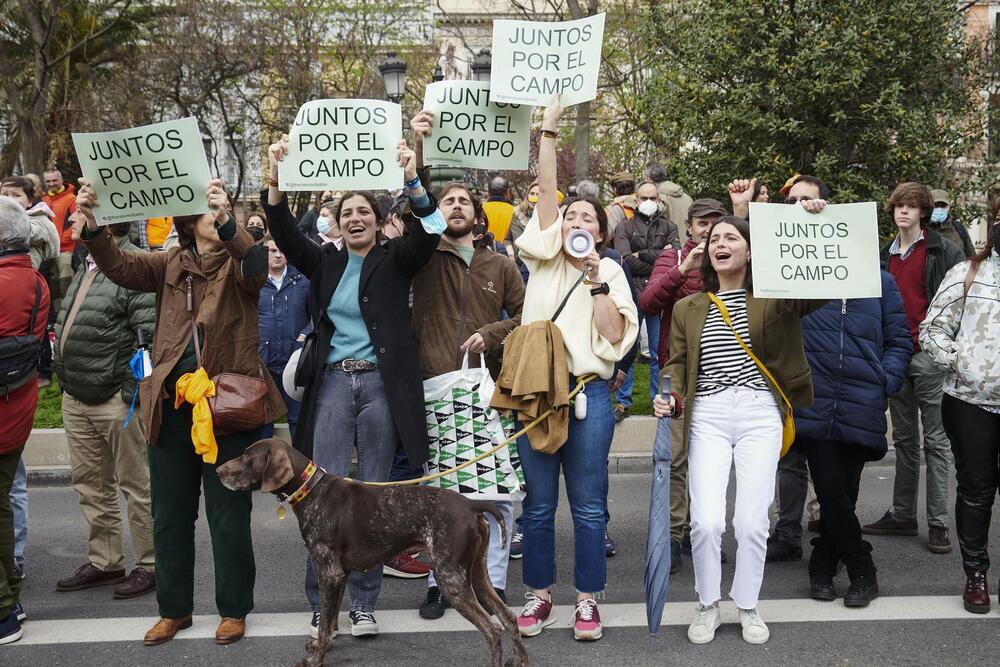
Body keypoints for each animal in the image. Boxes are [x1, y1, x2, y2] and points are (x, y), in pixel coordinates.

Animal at [217, 438, 532, 667]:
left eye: (247, 457)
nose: (218, 471)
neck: (312, 491)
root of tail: (471, 505)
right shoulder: (340, 574)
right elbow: (330, 619)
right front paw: (324, 645)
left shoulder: (329, 573)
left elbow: (325, 623)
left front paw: (316, 658)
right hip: (476, 573)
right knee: (508, 618)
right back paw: (520, 660)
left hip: (451, 578)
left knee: (492, 630)